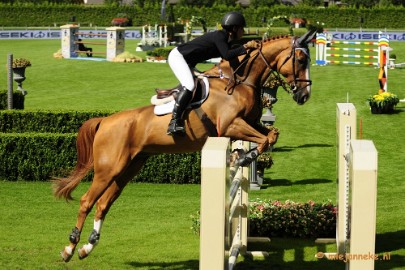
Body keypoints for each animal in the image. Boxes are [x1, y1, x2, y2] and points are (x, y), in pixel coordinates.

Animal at [52, 29, 316, 262]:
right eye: (301, 59)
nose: (304, 95)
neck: (242, 82)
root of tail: (105, 121)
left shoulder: (249, 123)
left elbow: (271, 135)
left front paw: (241, 155)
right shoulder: (231, 125)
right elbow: (266, 139)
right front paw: (242, 157)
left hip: (128, 168)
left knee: (103, 204)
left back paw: (87, 247)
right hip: (108, 169)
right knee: (87, 201)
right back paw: (69, 248)